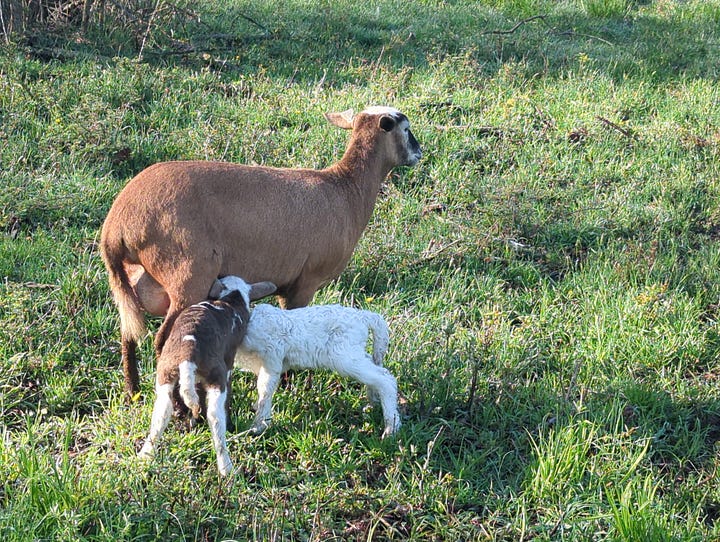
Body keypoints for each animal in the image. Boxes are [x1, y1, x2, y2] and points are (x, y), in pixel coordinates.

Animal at [100, 105, 422, 399]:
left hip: (136, 279)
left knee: (129, 333)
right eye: (406, 129)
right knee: (163, 339)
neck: (347, 190)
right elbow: (295, 329)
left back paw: (132, 392)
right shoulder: (306, 281)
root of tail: (117, 225)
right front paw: (292, 385)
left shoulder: (286, 284)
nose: (419, 152)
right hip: (188, 273)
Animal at [138, 276, 276, 476]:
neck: (231, 299)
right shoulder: (228, 363)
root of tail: (187, 356)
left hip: (165, 373)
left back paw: (145, 455)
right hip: (216, 376)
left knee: (162, 413)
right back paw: (226, 467)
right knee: (215, 417)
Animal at [233, 289, 400, 438]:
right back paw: (373, 403)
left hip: (345, 356)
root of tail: (364, 316)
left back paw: (391, 428)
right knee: (374, 368)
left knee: (385, 379)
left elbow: (265, 389)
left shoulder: (272, 357)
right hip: (355, 352)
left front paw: (258, 427)